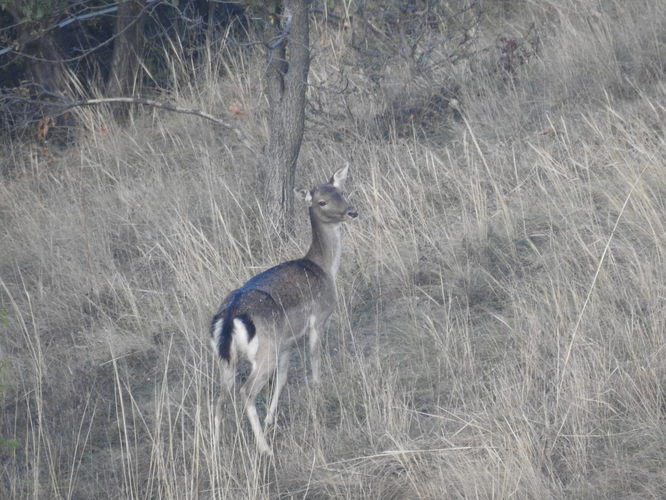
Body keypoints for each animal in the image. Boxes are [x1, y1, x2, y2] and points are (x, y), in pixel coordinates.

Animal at [209, 166, 356, 456]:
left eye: (340, 191)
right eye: (321, 201)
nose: (351, 212)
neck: (324, 268)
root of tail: (230, 315)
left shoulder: (287, 342)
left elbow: (284, 378)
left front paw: (271, 419)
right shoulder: (317, 320)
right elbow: (314, 363)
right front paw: (318, 394)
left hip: (227, 359)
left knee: (219, 397)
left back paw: (216, 449)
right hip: (264, 350)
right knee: (245, 391)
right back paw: (264, 448)